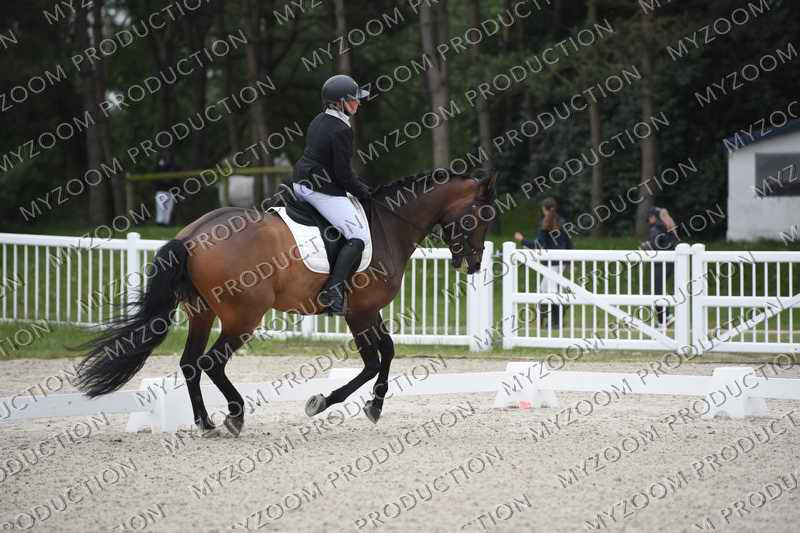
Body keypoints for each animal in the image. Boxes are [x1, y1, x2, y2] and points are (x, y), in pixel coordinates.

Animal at [75, 170, 497, 436]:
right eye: (481, 216)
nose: (473, 264)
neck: (388, 225)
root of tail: (192, 236)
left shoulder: (368, 312)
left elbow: (388, 352)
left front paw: (374, 407)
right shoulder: (359, 312)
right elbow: (373, 361)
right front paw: (322, 402)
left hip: (202, 312)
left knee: (191, 363)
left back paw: (206, 424)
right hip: (243, 316)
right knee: (212, 362)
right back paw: (234, 416)